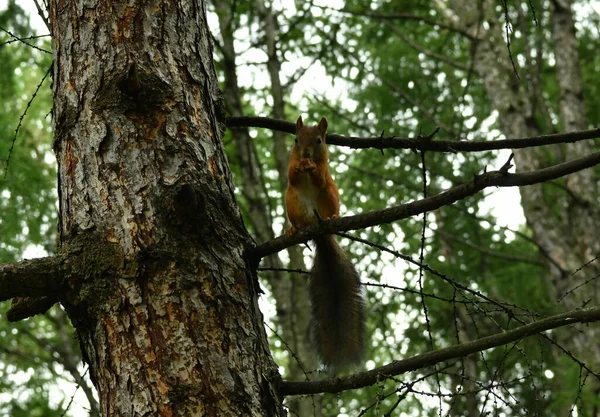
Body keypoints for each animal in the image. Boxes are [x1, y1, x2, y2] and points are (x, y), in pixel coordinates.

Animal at [286, 114, 366, 368]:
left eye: (319, 141)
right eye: (296, 139)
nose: (305, 154)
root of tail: (318, 231)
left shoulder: (325, 173)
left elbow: (320, 177)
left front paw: (311, 167)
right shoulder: (291, 171)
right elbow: (291, 175)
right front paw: (299, 167)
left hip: (330, 195)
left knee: (329, 201)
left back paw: (332, 217)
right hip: (291, 202)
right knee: (297, 220)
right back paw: (293, 229)